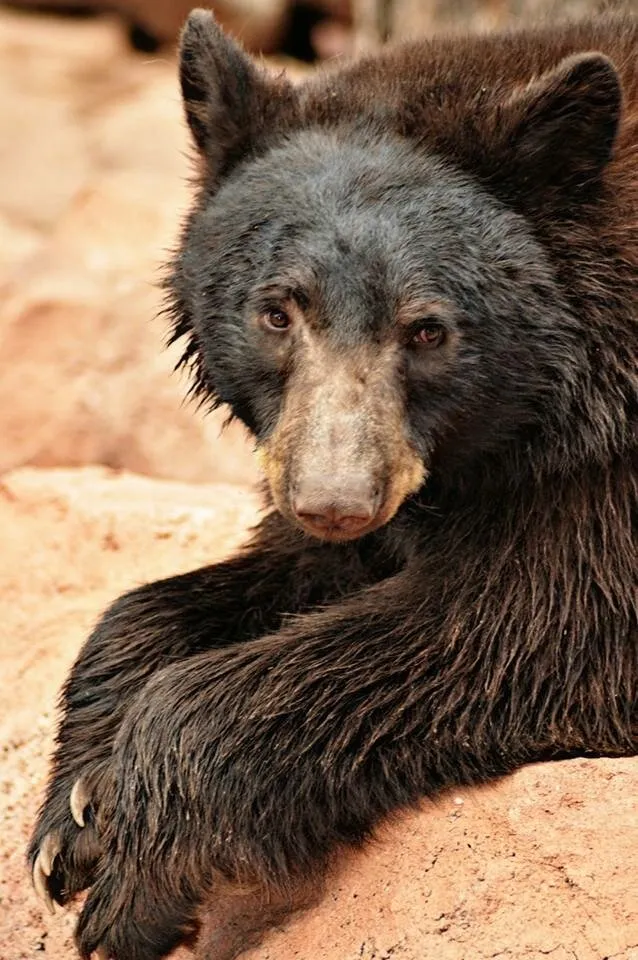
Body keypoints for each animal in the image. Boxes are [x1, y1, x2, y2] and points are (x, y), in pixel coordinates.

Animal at [29, 8, 637, 960]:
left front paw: (135, 874)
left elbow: (527, 625)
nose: (336, 501)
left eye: (428, 330)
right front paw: (76, 811)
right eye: (276, 311)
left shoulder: (603, 478)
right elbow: (205, 590)